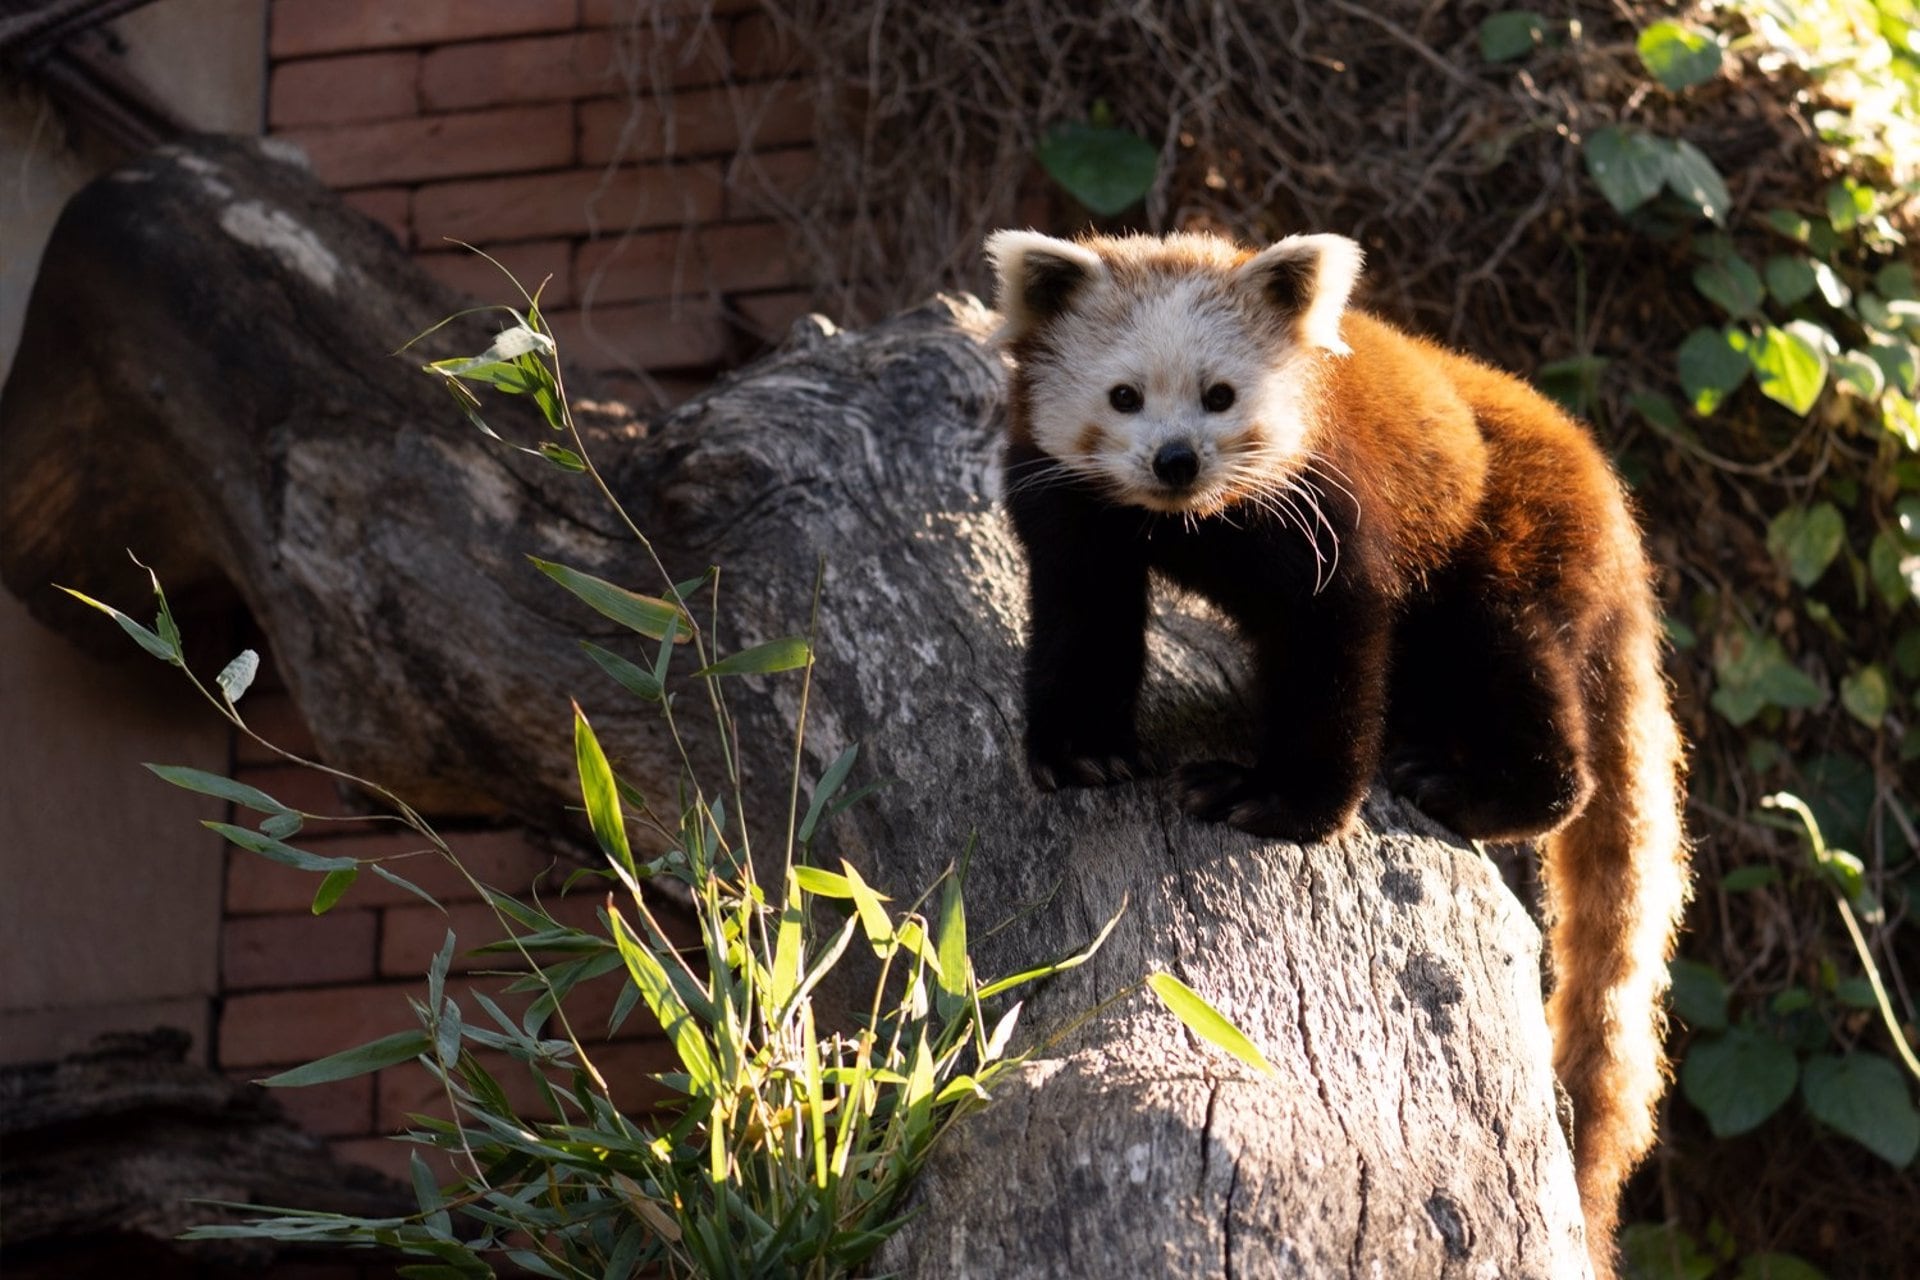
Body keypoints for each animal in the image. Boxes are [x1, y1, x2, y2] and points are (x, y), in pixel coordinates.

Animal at [990, 227, 1697, 1274]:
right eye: (1123, 396)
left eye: (1220, 396)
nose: (1175, 460)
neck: (1190, 523)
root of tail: (1610, 503)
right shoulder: (1070, 505)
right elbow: (1085, 620)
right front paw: (1081, 752)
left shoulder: (1325, 512)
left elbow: (1332, 655)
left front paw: (1283, 804)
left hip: (1507, 543)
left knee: (1519, 673)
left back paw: (1479, 787)